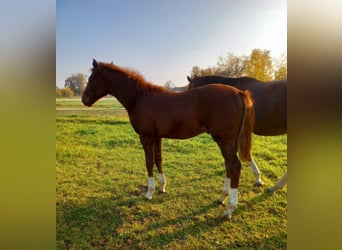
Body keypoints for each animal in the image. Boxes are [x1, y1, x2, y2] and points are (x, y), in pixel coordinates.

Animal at [82, 59, 254, 220]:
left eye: (93, 78)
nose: (84, 99)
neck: (140, 98)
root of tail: (239, 93)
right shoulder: (157, 137)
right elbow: (158, 159)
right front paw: (162, 187)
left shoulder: (146, 137)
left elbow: (149, 162)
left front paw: (149, 192)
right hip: (228, 141)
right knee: (229, 165)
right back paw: (222, 197)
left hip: (224, 140)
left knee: (234, 166)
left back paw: (229, 209)